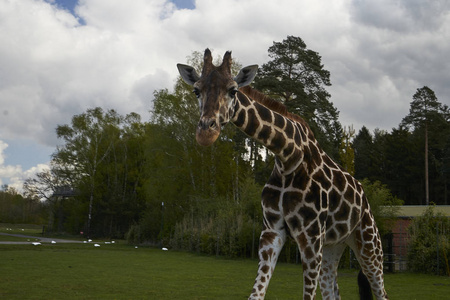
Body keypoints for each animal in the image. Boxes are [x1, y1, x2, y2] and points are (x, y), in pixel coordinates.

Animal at [178, 49, 388, 300]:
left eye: (233, 90)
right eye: (196, 90)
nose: (205, 133)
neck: (287, 157)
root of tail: (364, 198)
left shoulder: (310, 237)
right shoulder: (272, 232)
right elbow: (256, 294)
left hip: (368, 243)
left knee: (381, 291)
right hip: (333, 246)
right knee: (332, 290)